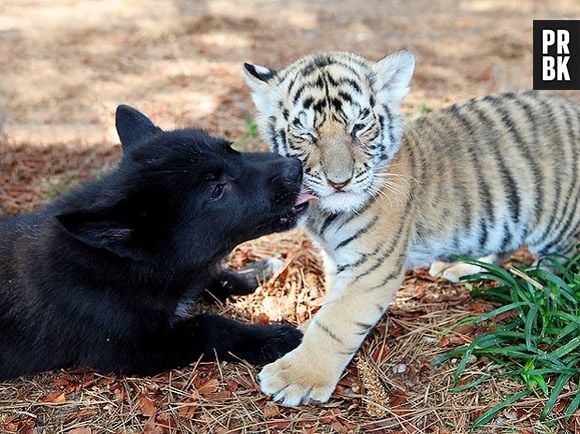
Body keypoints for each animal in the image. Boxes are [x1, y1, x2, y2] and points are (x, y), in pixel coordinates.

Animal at [0, 105, 308, 380]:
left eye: (231, 149)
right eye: (216, 189)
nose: (296, 166)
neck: (120, 265)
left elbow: (213, 277)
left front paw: (257, 272)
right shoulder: (129, 350)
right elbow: (208, 325)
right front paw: (272, 338)